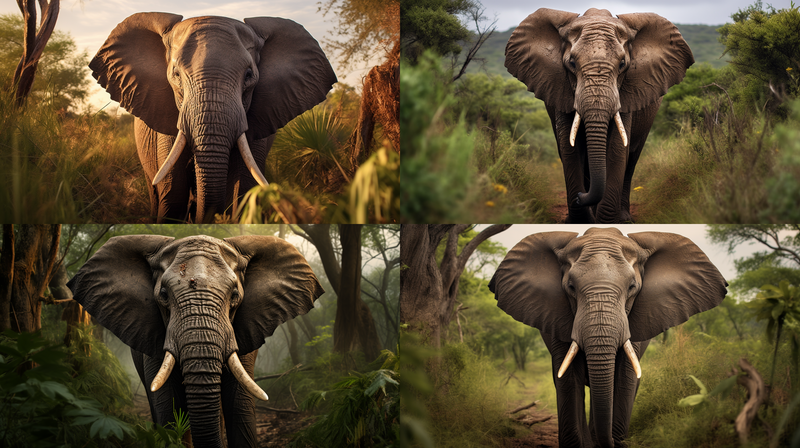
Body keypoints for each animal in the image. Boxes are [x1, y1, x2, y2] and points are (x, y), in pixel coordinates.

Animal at [505, 9, 694, 223]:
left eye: (622, 64)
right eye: (571, 63)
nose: (580, 197)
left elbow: (617, 149)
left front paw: (606, 221)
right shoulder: (560, 88)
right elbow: (569, 149)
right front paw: (579, 220)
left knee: (632, 159)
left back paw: (624, 218)